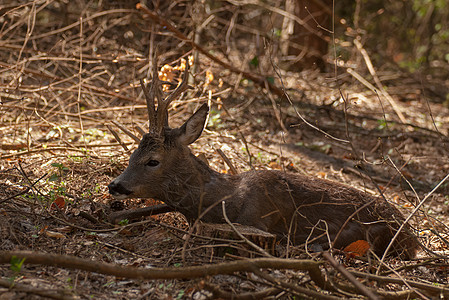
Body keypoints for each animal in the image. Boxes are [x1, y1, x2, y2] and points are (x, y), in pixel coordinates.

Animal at [107, 67, 416, 258]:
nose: (115, 185)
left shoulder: (259, 220)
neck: (222, 200)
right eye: (132, 154)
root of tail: (413, 235)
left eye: (152, 161)